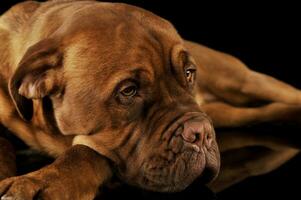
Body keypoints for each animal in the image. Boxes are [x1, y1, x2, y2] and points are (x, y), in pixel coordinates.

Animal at [0, 0, 298, 199]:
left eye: (189, 73)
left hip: (240, 80)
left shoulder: (102, 148)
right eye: (128, 91)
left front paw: (41, 183)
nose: (201, 133)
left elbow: (82, 153)